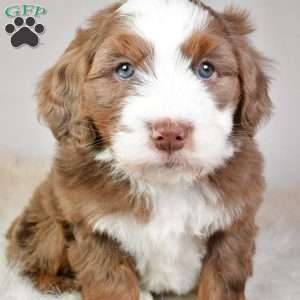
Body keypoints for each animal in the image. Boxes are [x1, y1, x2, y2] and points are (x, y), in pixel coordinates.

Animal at [5, 0, 272, 300]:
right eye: (124, 69)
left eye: (206, 69)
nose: (170, 133)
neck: (165, 183)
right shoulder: (95, 226)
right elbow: (111, 283)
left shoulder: (233, 222)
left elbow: (222, 279)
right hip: (45, 222)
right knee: (27, 260)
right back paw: (57, 284)